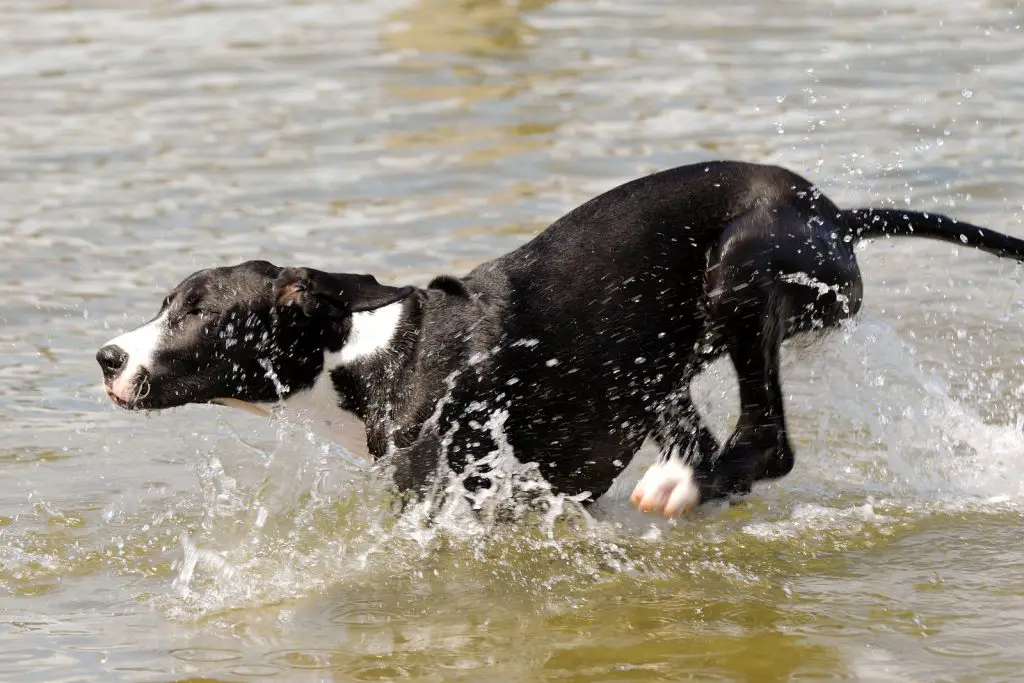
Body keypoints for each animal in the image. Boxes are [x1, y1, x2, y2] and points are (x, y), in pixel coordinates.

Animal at [96, 160, 1024, 516]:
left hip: (738, 270)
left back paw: (688, 484)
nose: (107, 356)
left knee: (767, 440)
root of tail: (833, 212)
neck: (371, 355)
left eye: (193, 311)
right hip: (657, 359)